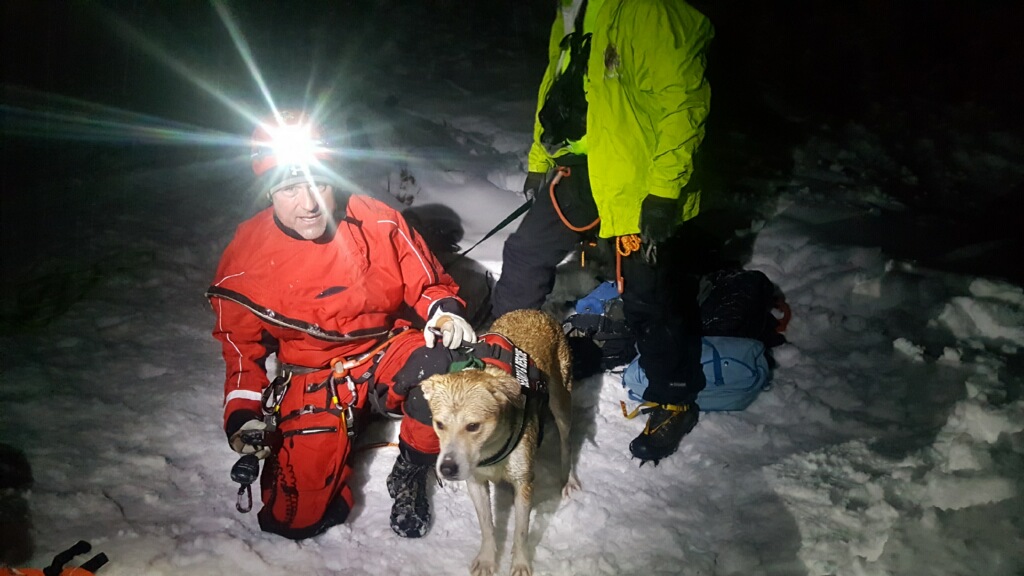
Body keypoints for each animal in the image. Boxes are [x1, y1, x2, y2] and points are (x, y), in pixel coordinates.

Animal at [419, 309, 581, 573]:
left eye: (473, 426)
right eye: (439, 424)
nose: (447, 469)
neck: (490, 450)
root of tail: (534, 312)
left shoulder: (524, 483)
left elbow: (521, 531)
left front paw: (521, 563)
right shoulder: (476, 482)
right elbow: (486, 525)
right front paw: (487, 560)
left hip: (561, 402)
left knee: (567, 442)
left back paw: (568, 478)